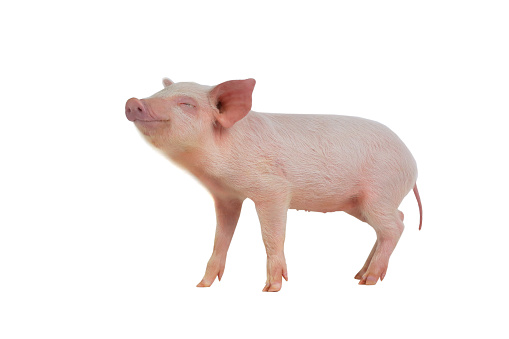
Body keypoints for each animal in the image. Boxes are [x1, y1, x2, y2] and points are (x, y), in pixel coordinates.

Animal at [125, 77, 422, 292]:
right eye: (158, 92)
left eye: (186, 104)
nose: (132, 101)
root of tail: (412, 163)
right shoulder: (226, 196)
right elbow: (221, 237)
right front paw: (202, 285)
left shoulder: (273, 190)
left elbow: (271, 235)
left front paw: (271, 288)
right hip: (359, 204)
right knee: (396, 219)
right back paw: (359, 274)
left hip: (379, 192)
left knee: (395, 227)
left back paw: (368, 281)